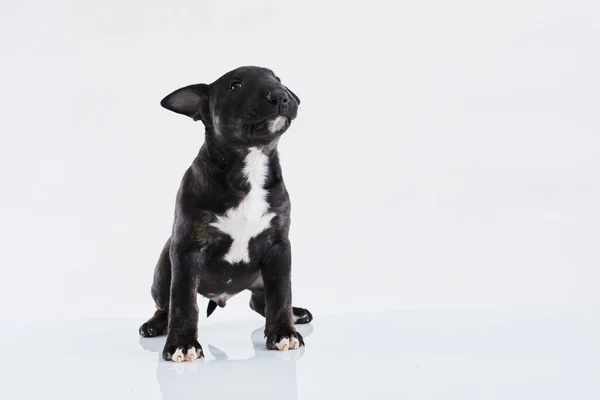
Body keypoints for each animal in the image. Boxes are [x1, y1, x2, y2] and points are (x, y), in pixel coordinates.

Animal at [138, 66, 312, 362]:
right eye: (235, 86)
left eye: (276, 78)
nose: (280, 95)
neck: (251, 163)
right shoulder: (187, 251)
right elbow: (183, 301)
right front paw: (182, 344)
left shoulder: (278, 247)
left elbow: (281, 293)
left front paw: (283, 332)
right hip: (163, 269)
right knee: (165, 304)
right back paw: (155, 325)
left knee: (259, 300)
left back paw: (295, 314)